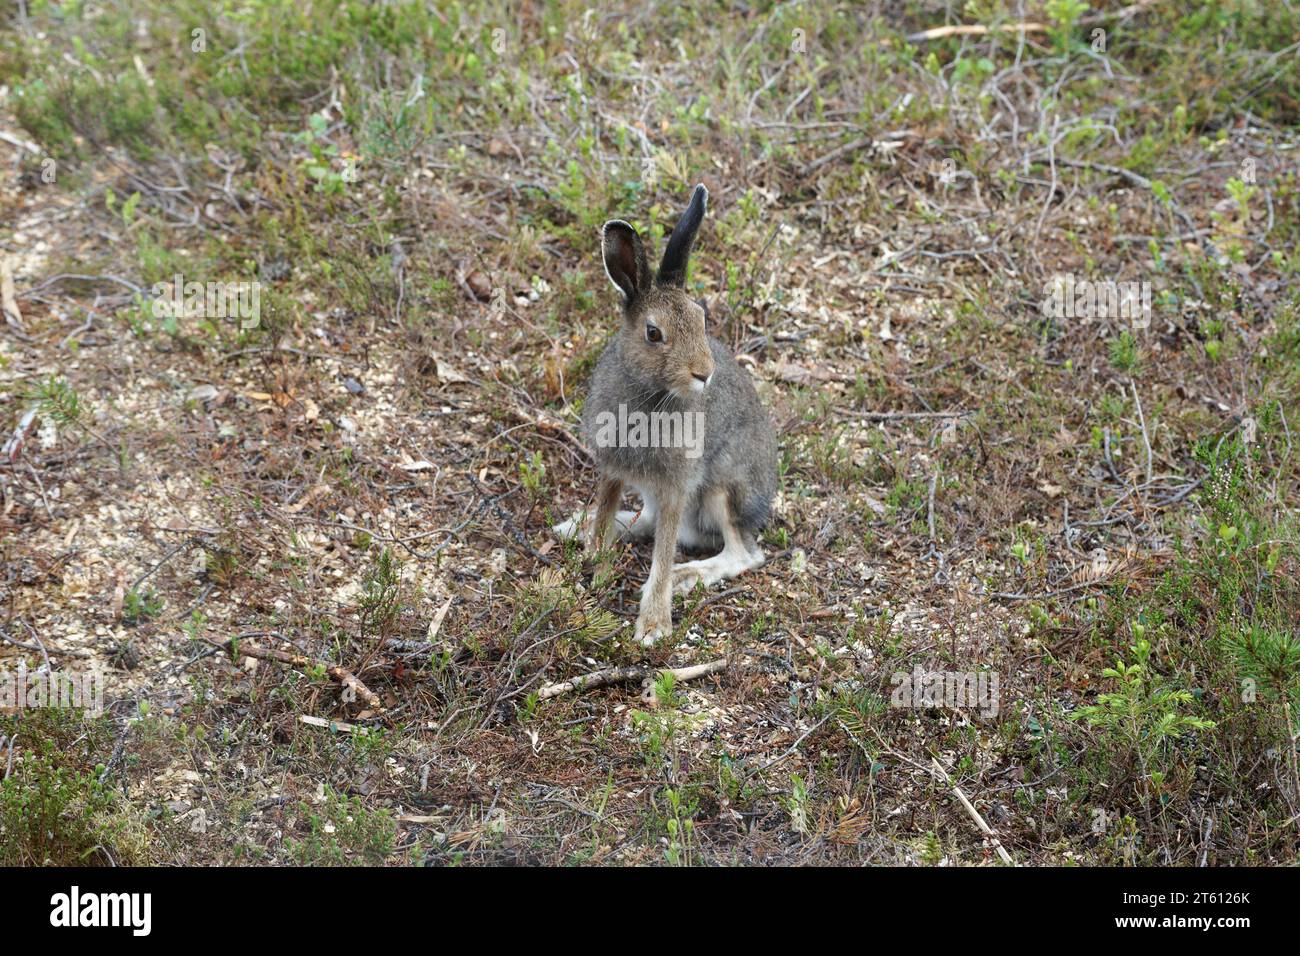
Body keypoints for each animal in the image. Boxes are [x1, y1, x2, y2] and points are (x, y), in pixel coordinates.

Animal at [553, 184, 778, 646]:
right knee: (650, 521)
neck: (652, 393)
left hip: (723, 490)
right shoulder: (613, 469)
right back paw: (575, 527)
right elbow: (606, 512)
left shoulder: (677, 484)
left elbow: (662, 554)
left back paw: (686, 575)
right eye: (654, 333)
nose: (704, 373)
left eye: (701, 319)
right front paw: (593, 557)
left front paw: (654, 624)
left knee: (742, 553)